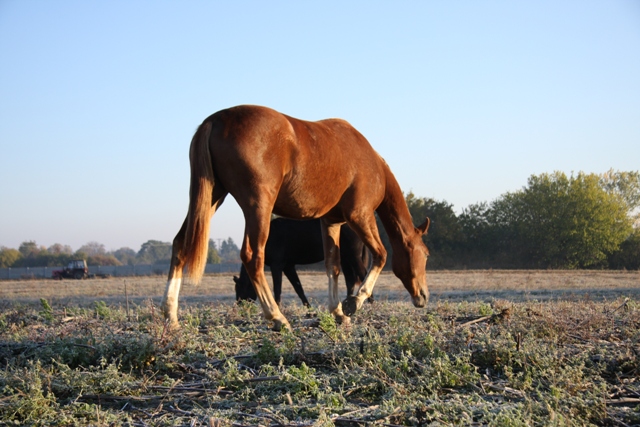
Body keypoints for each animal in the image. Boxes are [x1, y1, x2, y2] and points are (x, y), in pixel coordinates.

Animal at [235, 219, 368, 306]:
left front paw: (277, 306)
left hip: (353, 256)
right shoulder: (288, 267)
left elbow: (277, 287)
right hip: (345, 258)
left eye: (240, 288)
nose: (239, 305)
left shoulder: (276, 265)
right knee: (350, 280)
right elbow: (298, 287)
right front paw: (308, 307)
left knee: (363, 274)